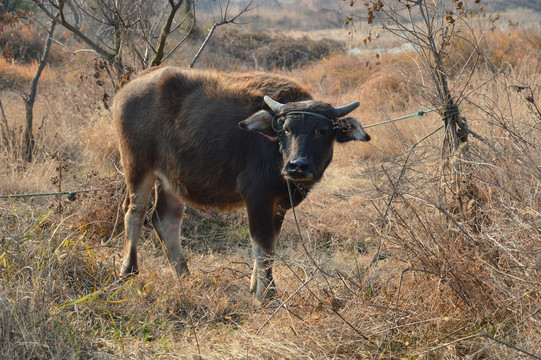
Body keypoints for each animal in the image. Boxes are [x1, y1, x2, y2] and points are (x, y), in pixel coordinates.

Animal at [112, 67, 370, 300]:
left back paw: (184, 275)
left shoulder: (278, 205)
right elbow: (262, 243)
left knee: (165, 220)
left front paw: (258, 286)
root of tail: (126, 90)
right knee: (134, 212)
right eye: (286, 129)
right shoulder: (258, 196)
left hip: (171, 180)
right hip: (137, 166)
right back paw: (128, 272)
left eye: (322, 130)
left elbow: (271, 246)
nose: (298, 166)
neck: (276, 151)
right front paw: (266, 294)